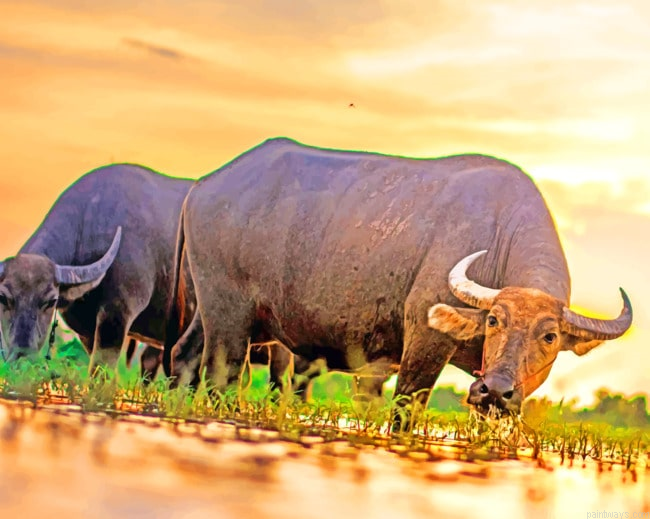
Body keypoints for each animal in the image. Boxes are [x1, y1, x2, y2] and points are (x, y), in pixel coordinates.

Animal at [164, 137, 632, 417]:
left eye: (549, 336)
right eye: (494, 320)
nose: (495, 390)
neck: (499, 234)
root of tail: (202, 186)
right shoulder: (424, 342)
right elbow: (405, 411)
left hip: (210, 312)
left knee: (184, 355)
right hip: (229, 320)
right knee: (221, 375)